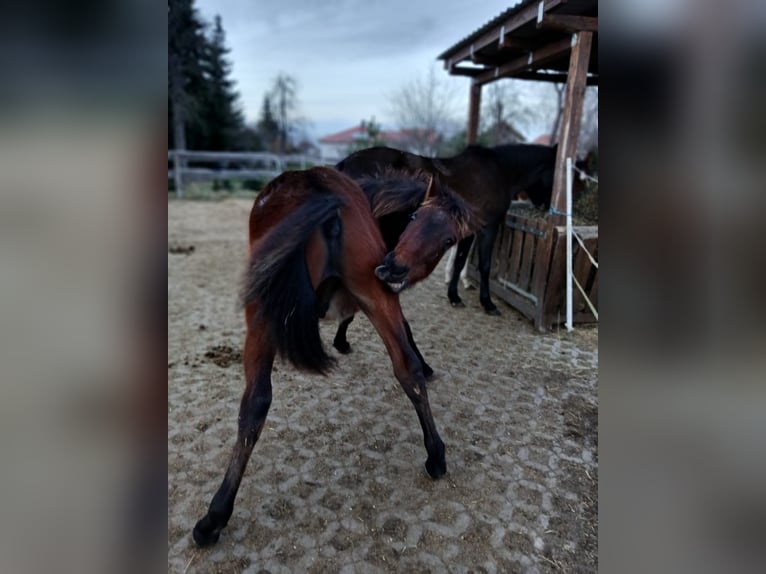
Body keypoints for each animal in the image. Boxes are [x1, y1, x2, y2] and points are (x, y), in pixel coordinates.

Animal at [194, 165, 480, 548]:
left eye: (449, 241)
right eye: (414, 217)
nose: (394, 269)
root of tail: (320, 189)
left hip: (264, 315)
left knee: (255, 403)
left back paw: (214, 517)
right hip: (377, 293)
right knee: (407, 369)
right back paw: (435, 455)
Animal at [340, 143, 580, 316]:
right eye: (561, 175)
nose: (547, 206)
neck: (500, 172)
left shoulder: (467, 232)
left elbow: (460, 261)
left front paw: (454, 295)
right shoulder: (487, 229)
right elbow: (484, 265)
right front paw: (487, 303)